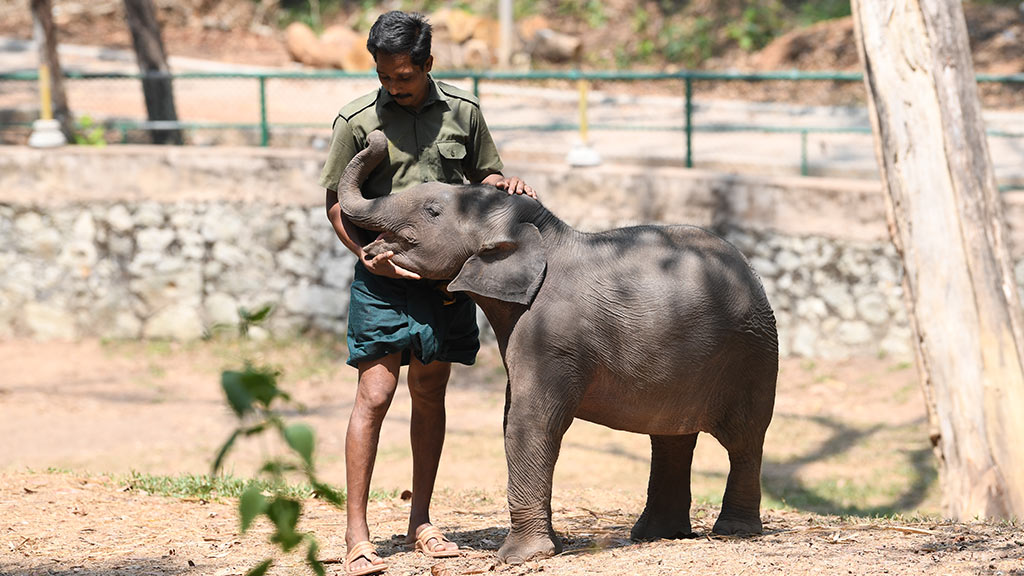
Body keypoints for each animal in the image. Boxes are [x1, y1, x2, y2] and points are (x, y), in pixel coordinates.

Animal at [335, 129, 774, 561]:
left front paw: (518, 557)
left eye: (432, 211)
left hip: (752, 354)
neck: (544, 234)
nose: (373, 137)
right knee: (670, 437)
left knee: (744, 440)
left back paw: (734, 531)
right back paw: (658, 535)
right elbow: (513, 417)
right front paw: (547, 550)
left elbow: (530, 421)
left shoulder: (552, 335)